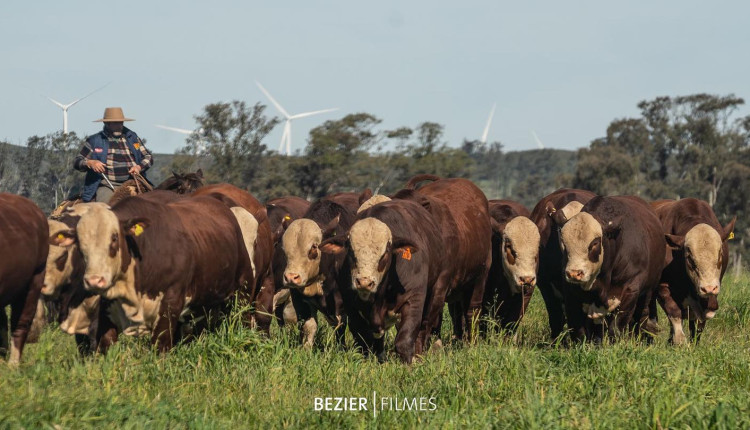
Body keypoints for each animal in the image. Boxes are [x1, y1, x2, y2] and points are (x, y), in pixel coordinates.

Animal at [560, 196, 668, 342]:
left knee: (642, 317)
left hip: (648, 293)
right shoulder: (572, 293)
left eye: (594, 243)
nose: (574, 273)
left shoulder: (630, 290)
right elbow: (578, 330)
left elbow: (616, 327)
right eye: (564, 243)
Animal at [652, 197, 736, 342]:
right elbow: (675, 314)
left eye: (720, 254)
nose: (708, 288)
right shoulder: (662, 286)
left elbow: (699, 323)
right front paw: (679, 341)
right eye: (689, 257)